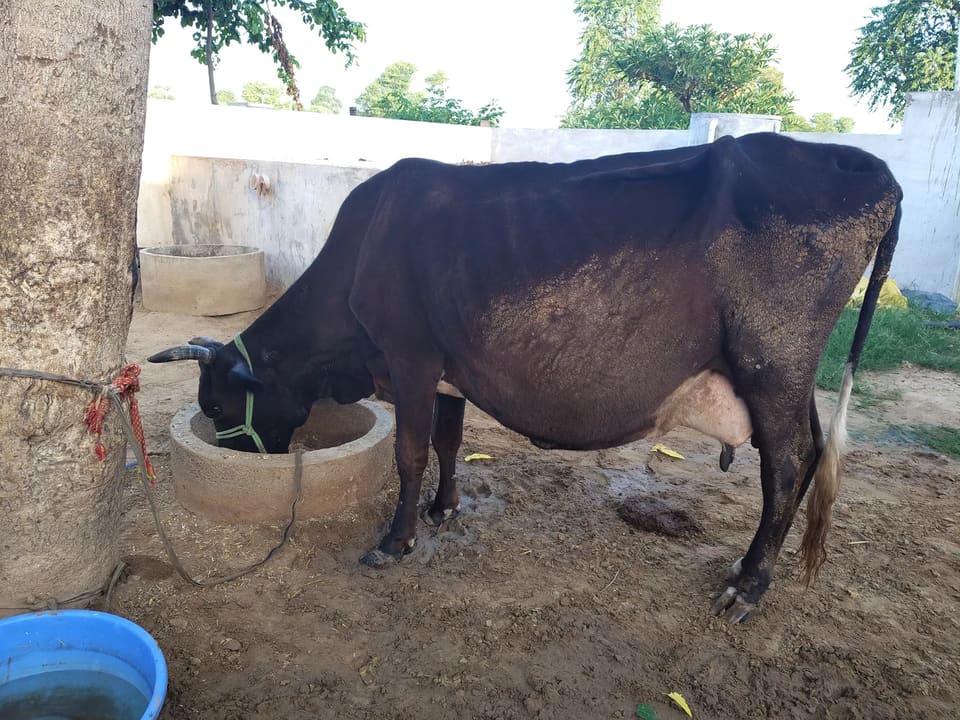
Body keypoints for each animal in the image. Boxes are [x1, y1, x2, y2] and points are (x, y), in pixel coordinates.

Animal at [149, 132, 902, 622]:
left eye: (221, 407)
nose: (251, 461)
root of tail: (873, 171)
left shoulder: (410, 356)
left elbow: (410, 451)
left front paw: (395, 541)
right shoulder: (447, 369)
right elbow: (447, 443)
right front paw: (444, 509)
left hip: (771, 364)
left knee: (788, 462)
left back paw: (748, 588)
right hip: (787, 379)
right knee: (807, 454)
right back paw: (753, 571)